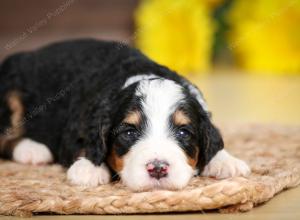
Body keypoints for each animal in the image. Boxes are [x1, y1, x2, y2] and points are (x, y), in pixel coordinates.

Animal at [0, 39, 250, 191]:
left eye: (183, 133)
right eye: (129, 133)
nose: (158, 168)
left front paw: (226, 162)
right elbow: (85, 145)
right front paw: (89, 169)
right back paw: (32, 150)